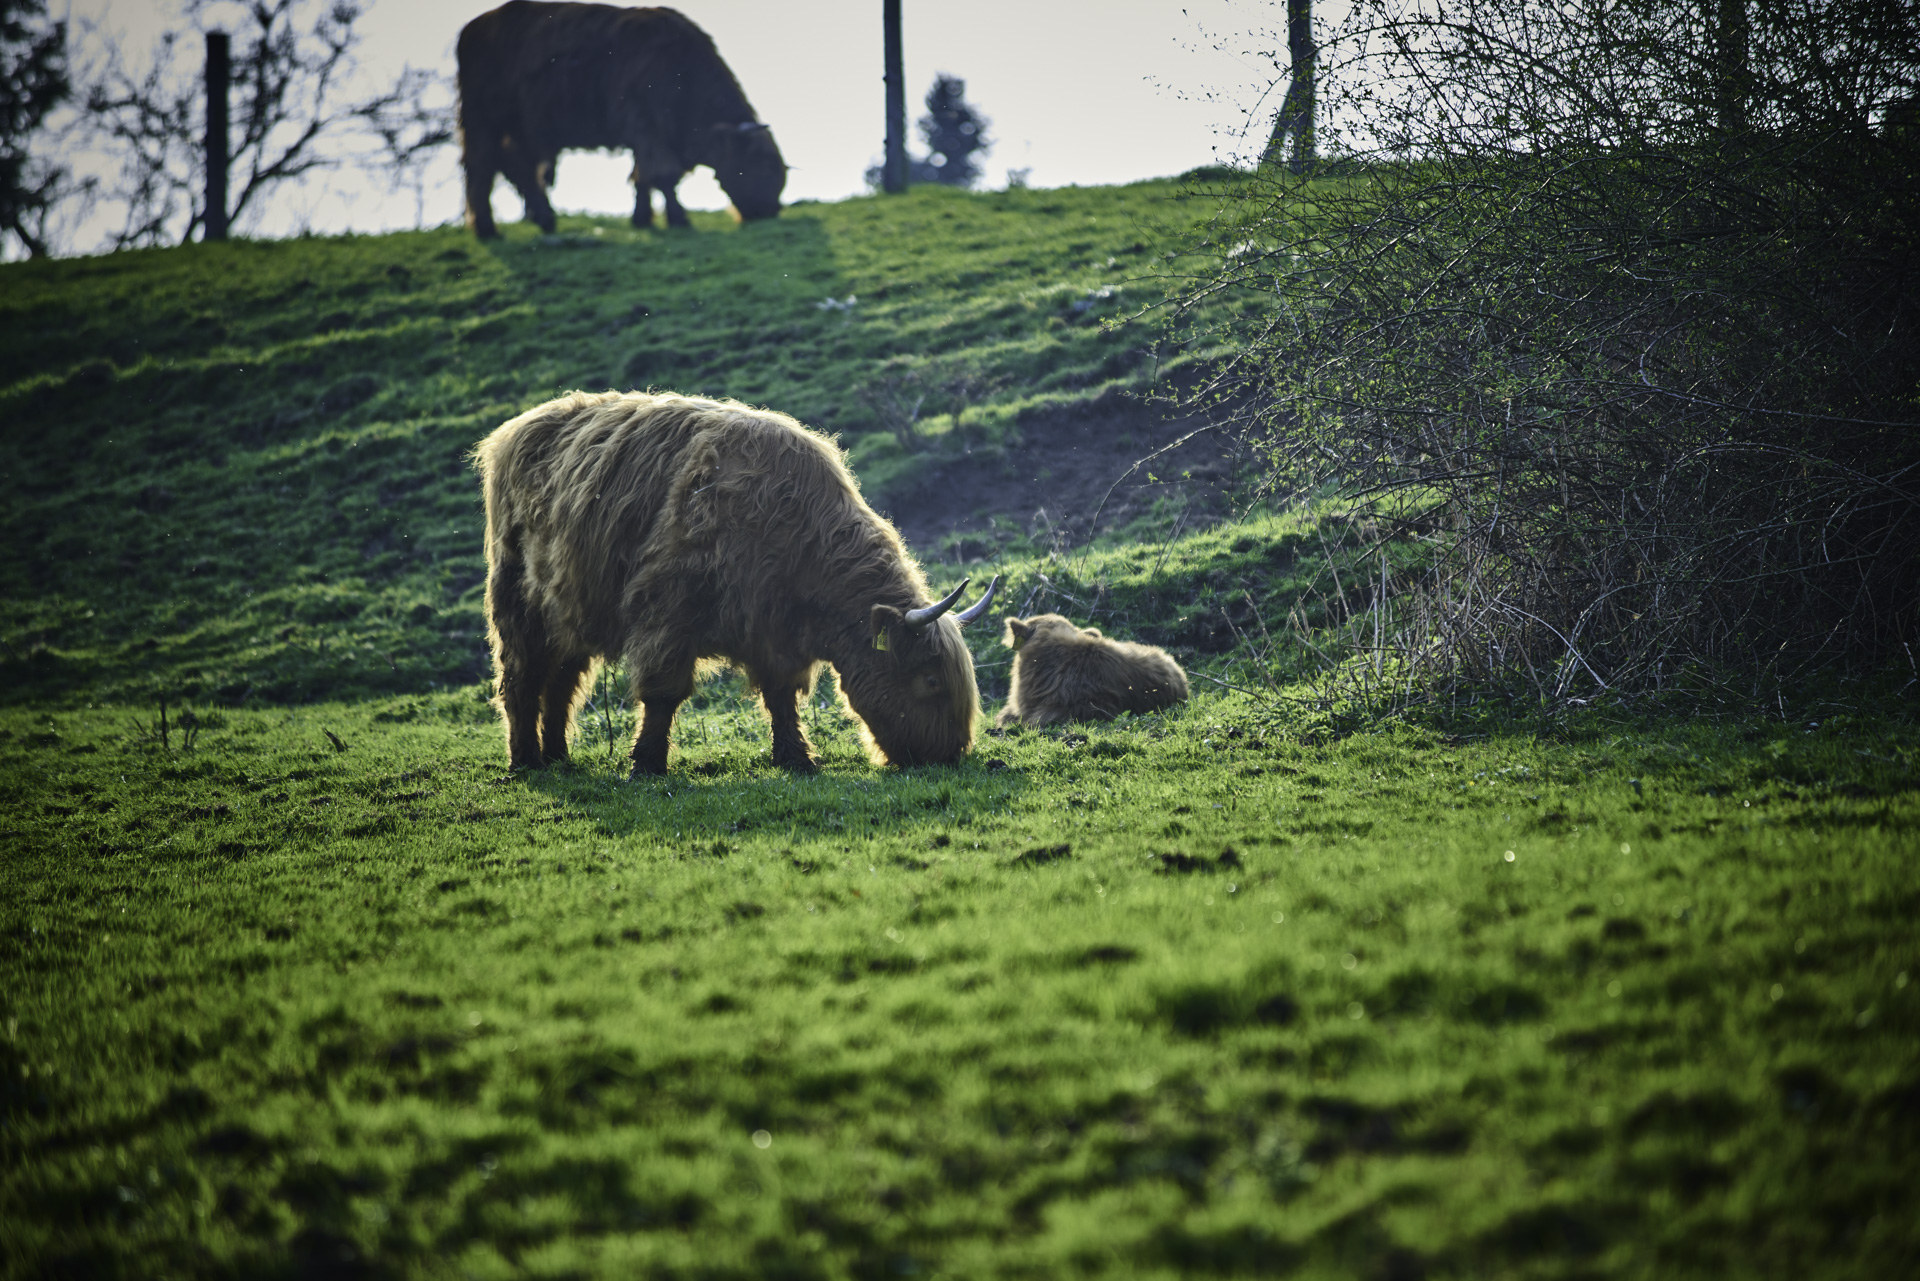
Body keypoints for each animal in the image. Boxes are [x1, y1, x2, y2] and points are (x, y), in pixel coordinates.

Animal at [453, 2, 783, 239]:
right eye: (762, 165)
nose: (770, 211)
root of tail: (472, 27)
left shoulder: (647, 134)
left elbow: (643, 177)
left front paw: (643, 219)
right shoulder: (644, 122)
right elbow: (662, 175)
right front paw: (678, 219)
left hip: (522, 126)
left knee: (517, 166)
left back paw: (545, 219)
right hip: (481, 119)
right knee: (481, 166)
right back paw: (487, 230)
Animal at [476, 391, 1006, 772]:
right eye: (930, 679)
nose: (949, 754)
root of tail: (517, 427)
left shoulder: (775, 633)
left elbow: (781, 697)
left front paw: (797, 759)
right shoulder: (667, 612)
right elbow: (663, 693)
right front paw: (646, 765)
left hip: (570, 608)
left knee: (561, 684)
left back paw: (558, 756)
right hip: (516, 600)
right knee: (521, 679)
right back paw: (526, 761)